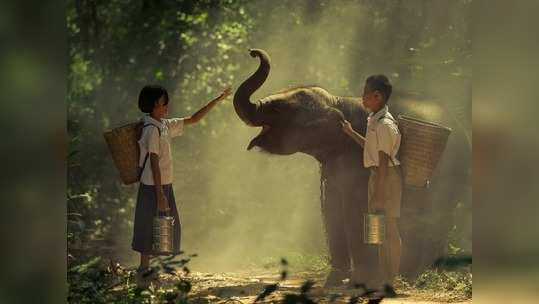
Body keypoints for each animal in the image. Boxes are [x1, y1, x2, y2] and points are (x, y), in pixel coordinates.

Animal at [234, 48, 470, 286]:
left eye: (278, 110)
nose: (253, 53)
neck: (338, 100)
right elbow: (330, 209)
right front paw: (334, 281)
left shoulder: (356, 165)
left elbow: (354, 209)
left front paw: (360, 280)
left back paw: (412, 275)